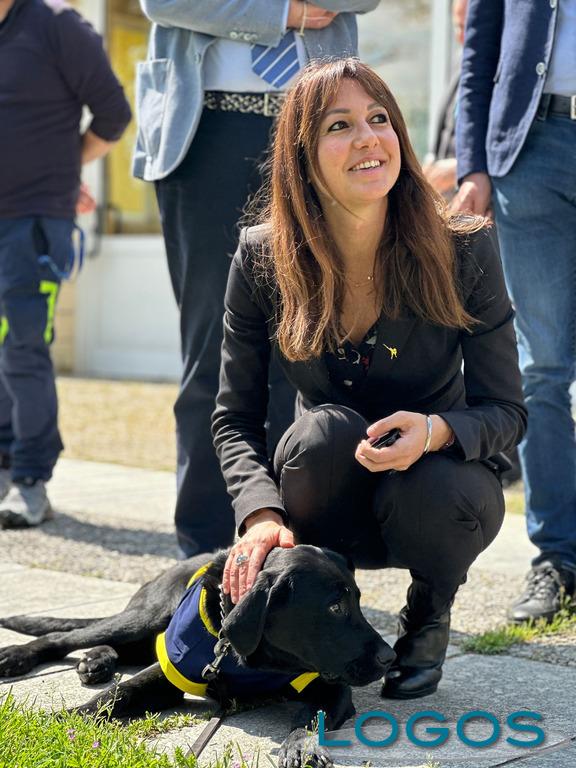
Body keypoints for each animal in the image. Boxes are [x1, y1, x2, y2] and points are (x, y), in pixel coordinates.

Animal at [0, 544, 394, 768]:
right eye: (335, 606)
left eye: (358, 600)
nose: (389, 657)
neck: (248, 659)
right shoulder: (169, 671)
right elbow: (115, 695)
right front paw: (62, 720)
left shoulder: (333, 687)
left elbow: (314, 716)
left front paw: (301, 745)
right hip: (147, 616)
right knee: (63, 636)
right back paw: (19, 656)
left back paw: (97, 661)